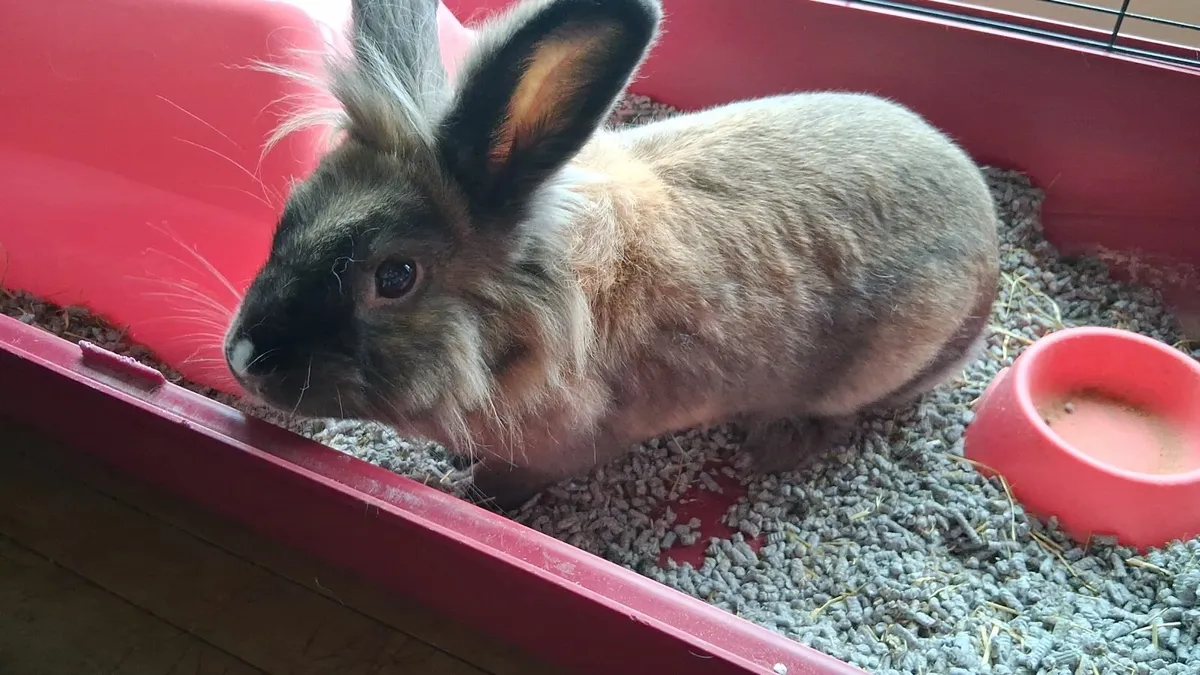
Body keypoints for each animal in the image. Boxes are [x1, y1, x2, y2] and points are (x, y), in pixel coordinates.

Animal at [222, 0, 1001, 512]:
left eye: (394, 276)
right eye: (293, 210)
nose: (243, 357)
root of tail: (990, 245)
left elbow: (508, 483)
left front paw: (469, 489)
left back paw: (775, 444)